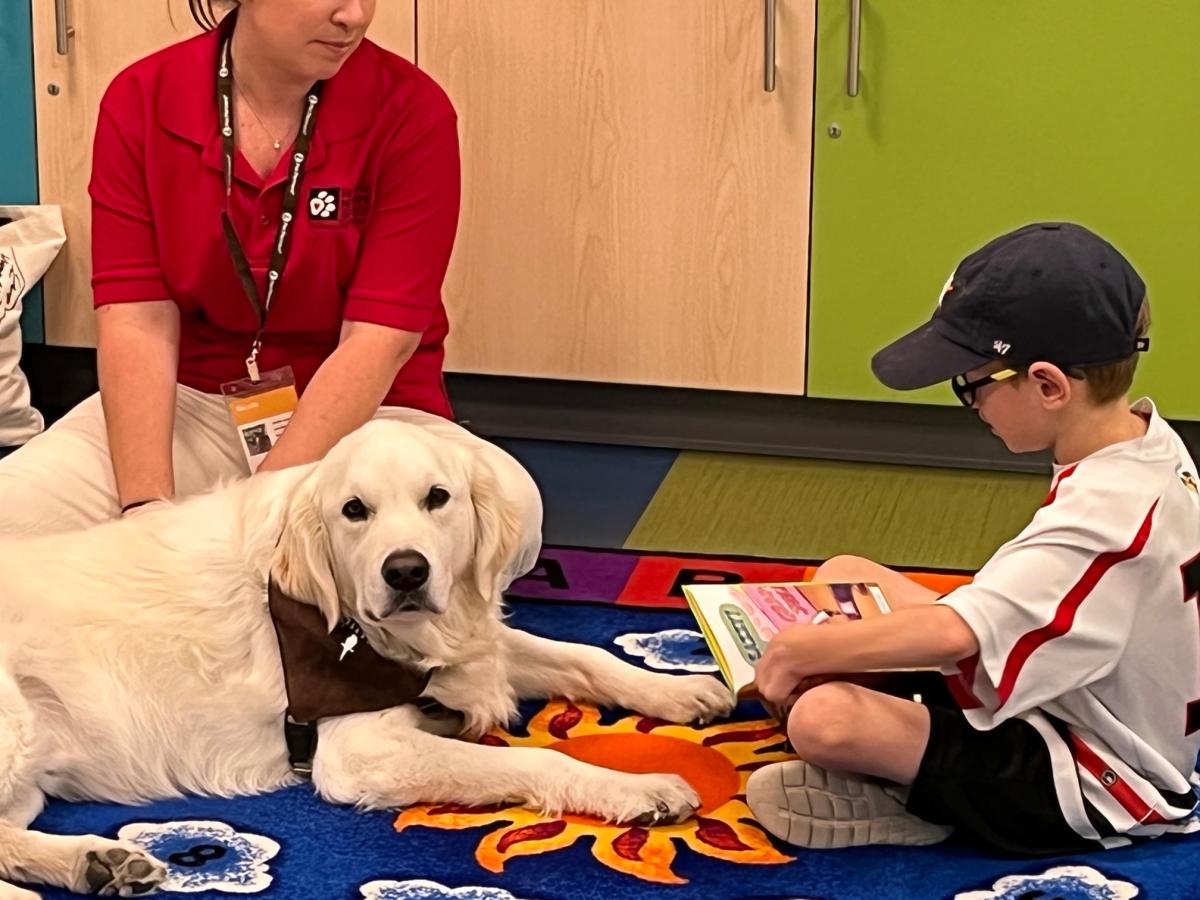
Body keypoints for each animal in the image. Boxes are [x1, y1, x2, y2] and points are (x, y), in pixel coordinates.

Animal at [0, 422, 729, 900]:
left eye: (438, 497)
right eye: (354, 510)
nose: (406, 572)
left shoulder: (472, 650)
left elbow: (582, 657)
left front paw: (679, 691)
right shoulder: (358, 752)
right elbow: (534, 760)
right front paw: (638, 788)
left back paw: (97, 861)